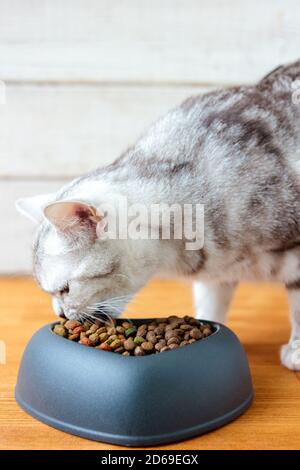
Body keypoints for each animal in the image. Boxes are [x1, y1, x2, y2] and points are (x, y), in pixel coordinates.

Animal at [16, 58, 300, 370]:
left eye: (65, 289)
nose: (60, 314)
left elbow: (298, 306)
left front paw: (296, 348)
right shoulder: (215, 276)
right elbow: (211, 304)